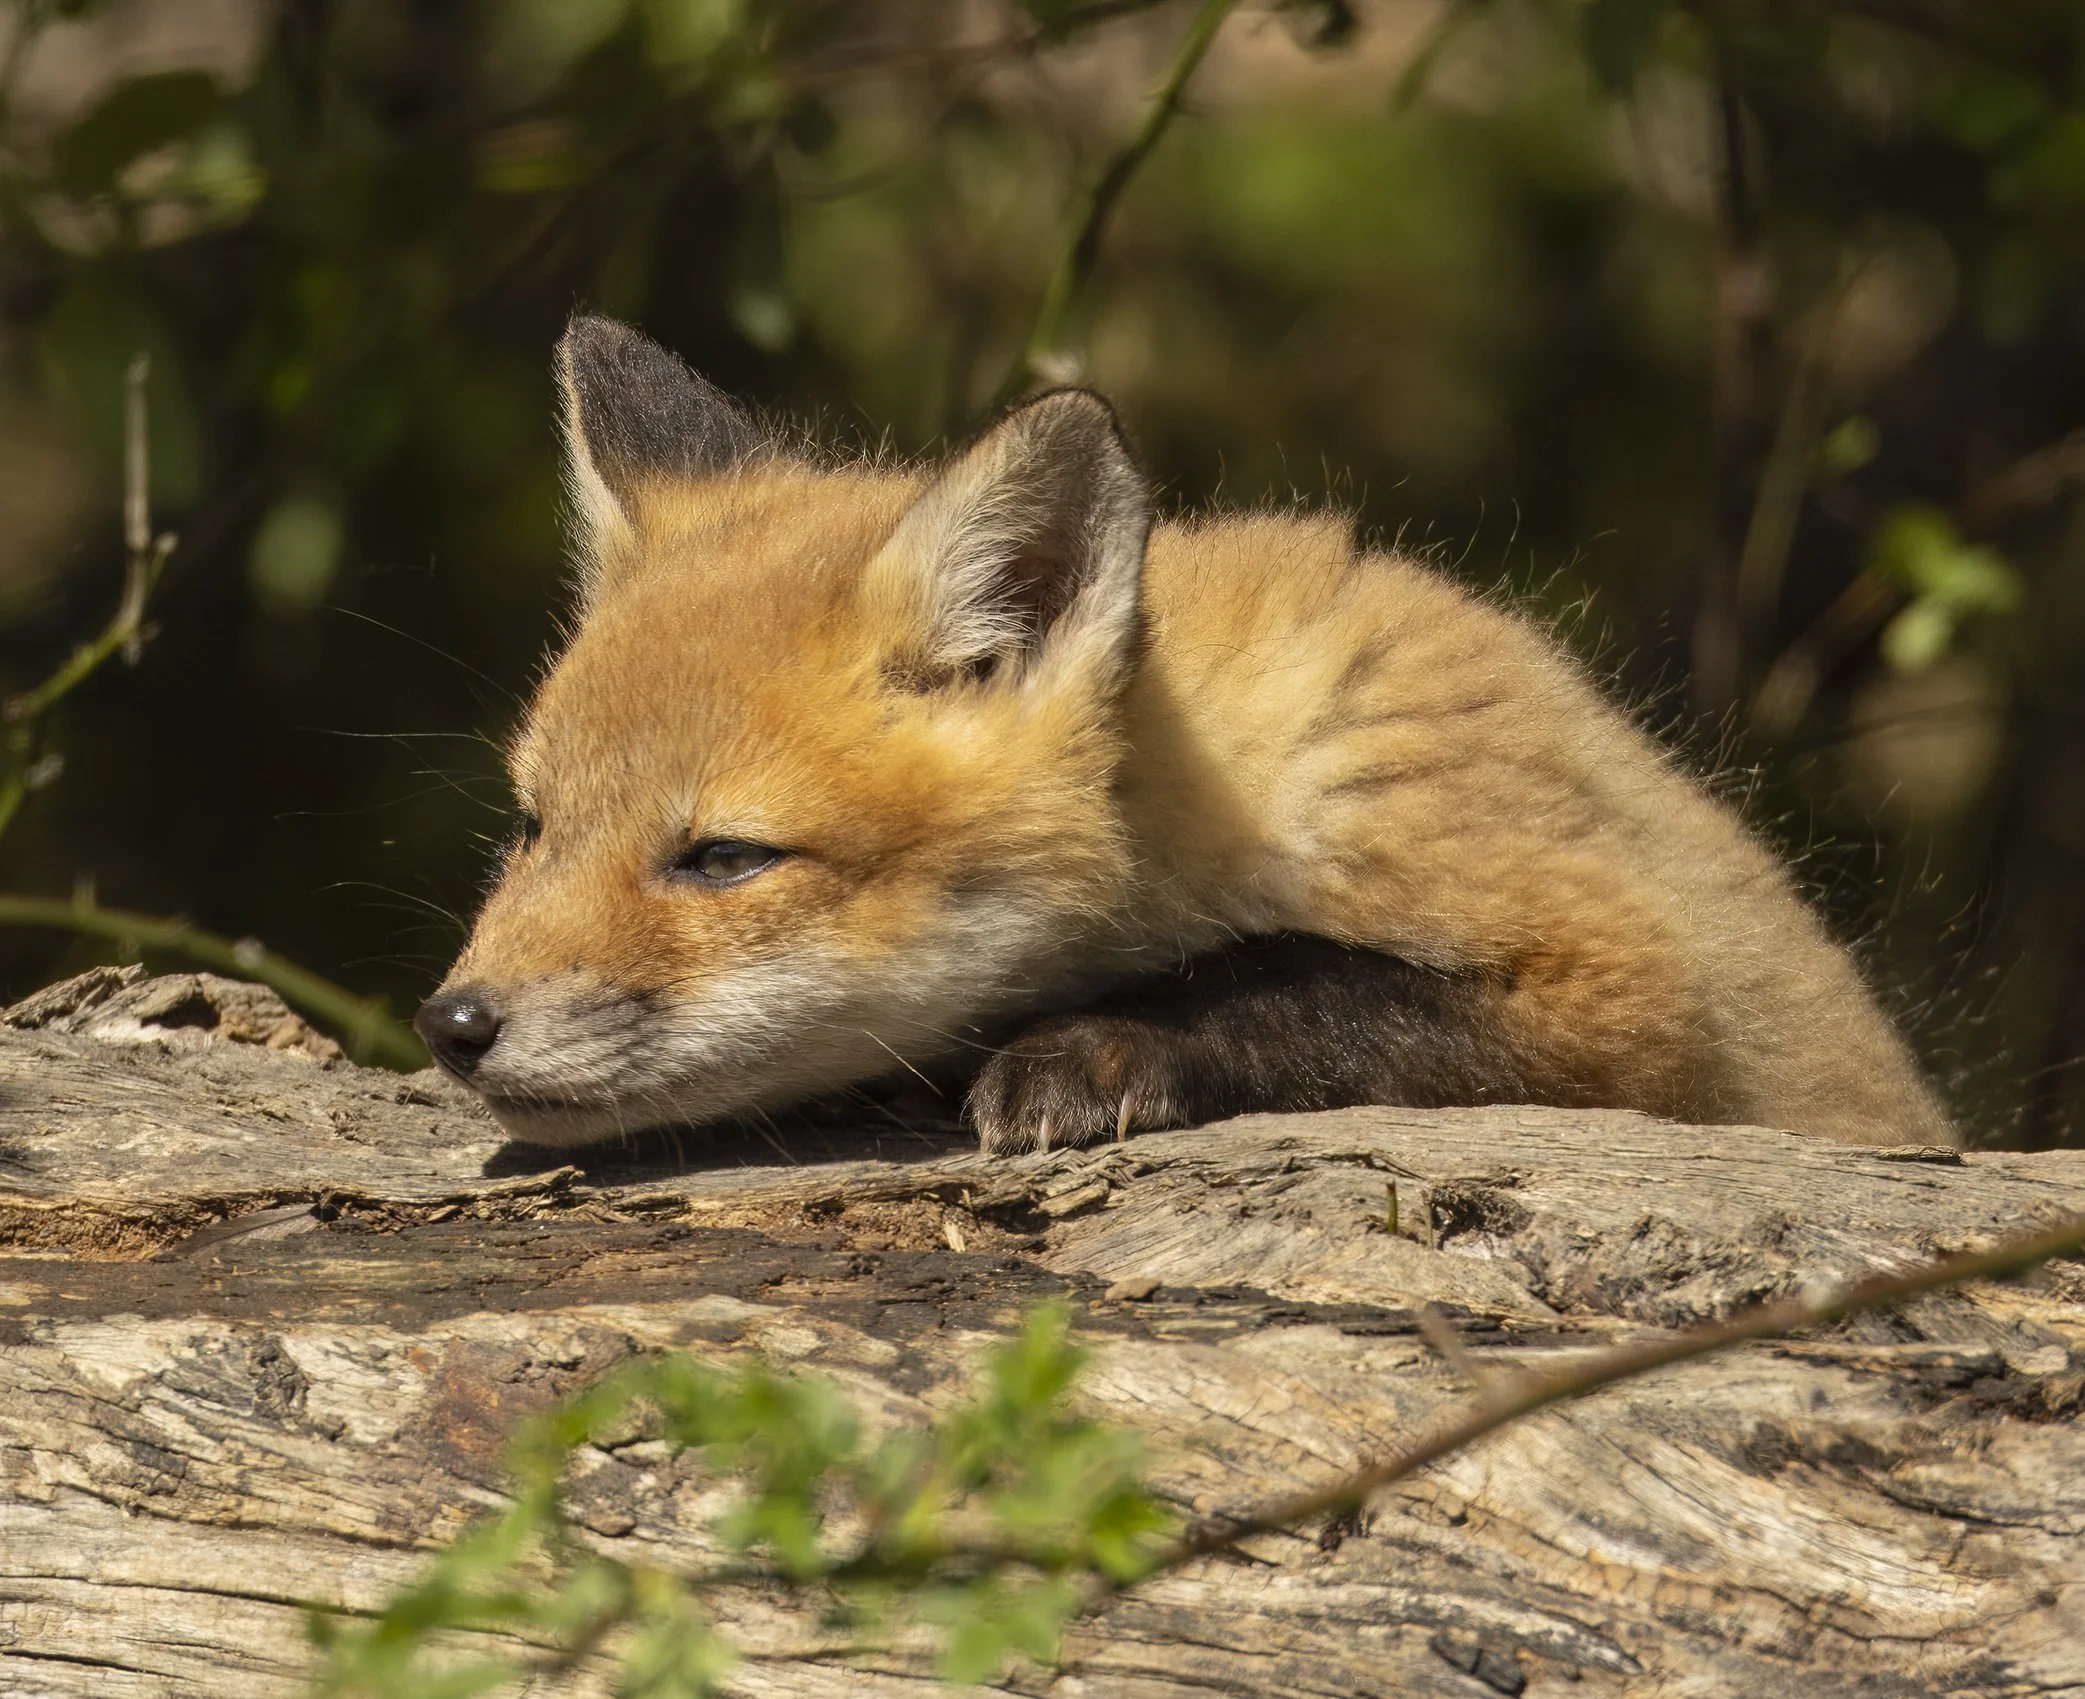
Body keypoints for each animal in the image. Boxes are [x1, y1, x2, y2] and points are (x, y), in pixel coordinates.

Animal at [414, 314, 1954, 1156]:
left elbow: (1295, 980)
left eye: (725, 858)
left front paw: (1096, 1050)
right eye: (533, 824)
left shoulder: (1624, 994)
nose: (452, 1024)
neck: (1243, 768)